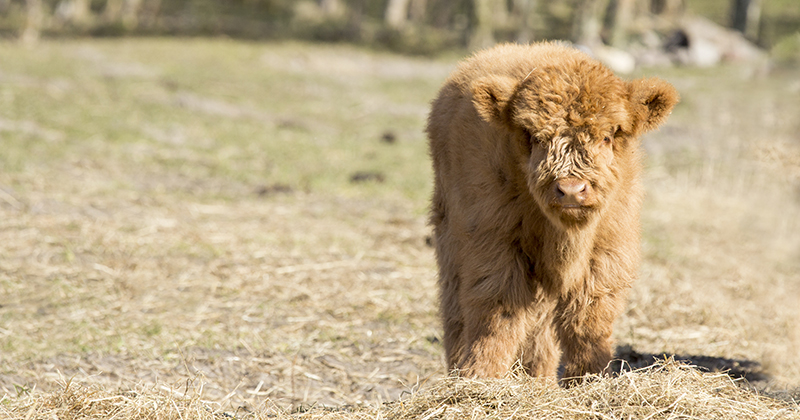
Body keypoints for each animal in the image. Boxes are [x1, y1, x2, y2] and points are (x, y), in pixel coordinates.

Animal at [428, 43, 680, 380]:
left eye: (607, 136)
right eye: (535, 137)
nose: (571, 190)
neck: (566, 237)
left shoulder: (606, 254)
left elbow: (587, 321)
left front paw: (591, 377)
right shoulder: (493, 245)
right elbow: (497, 315)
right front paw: (481, 375)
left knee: (541, 326)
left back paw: (539, 379)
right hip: (449, 235)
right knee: (455, 307)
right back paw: (460, 367)